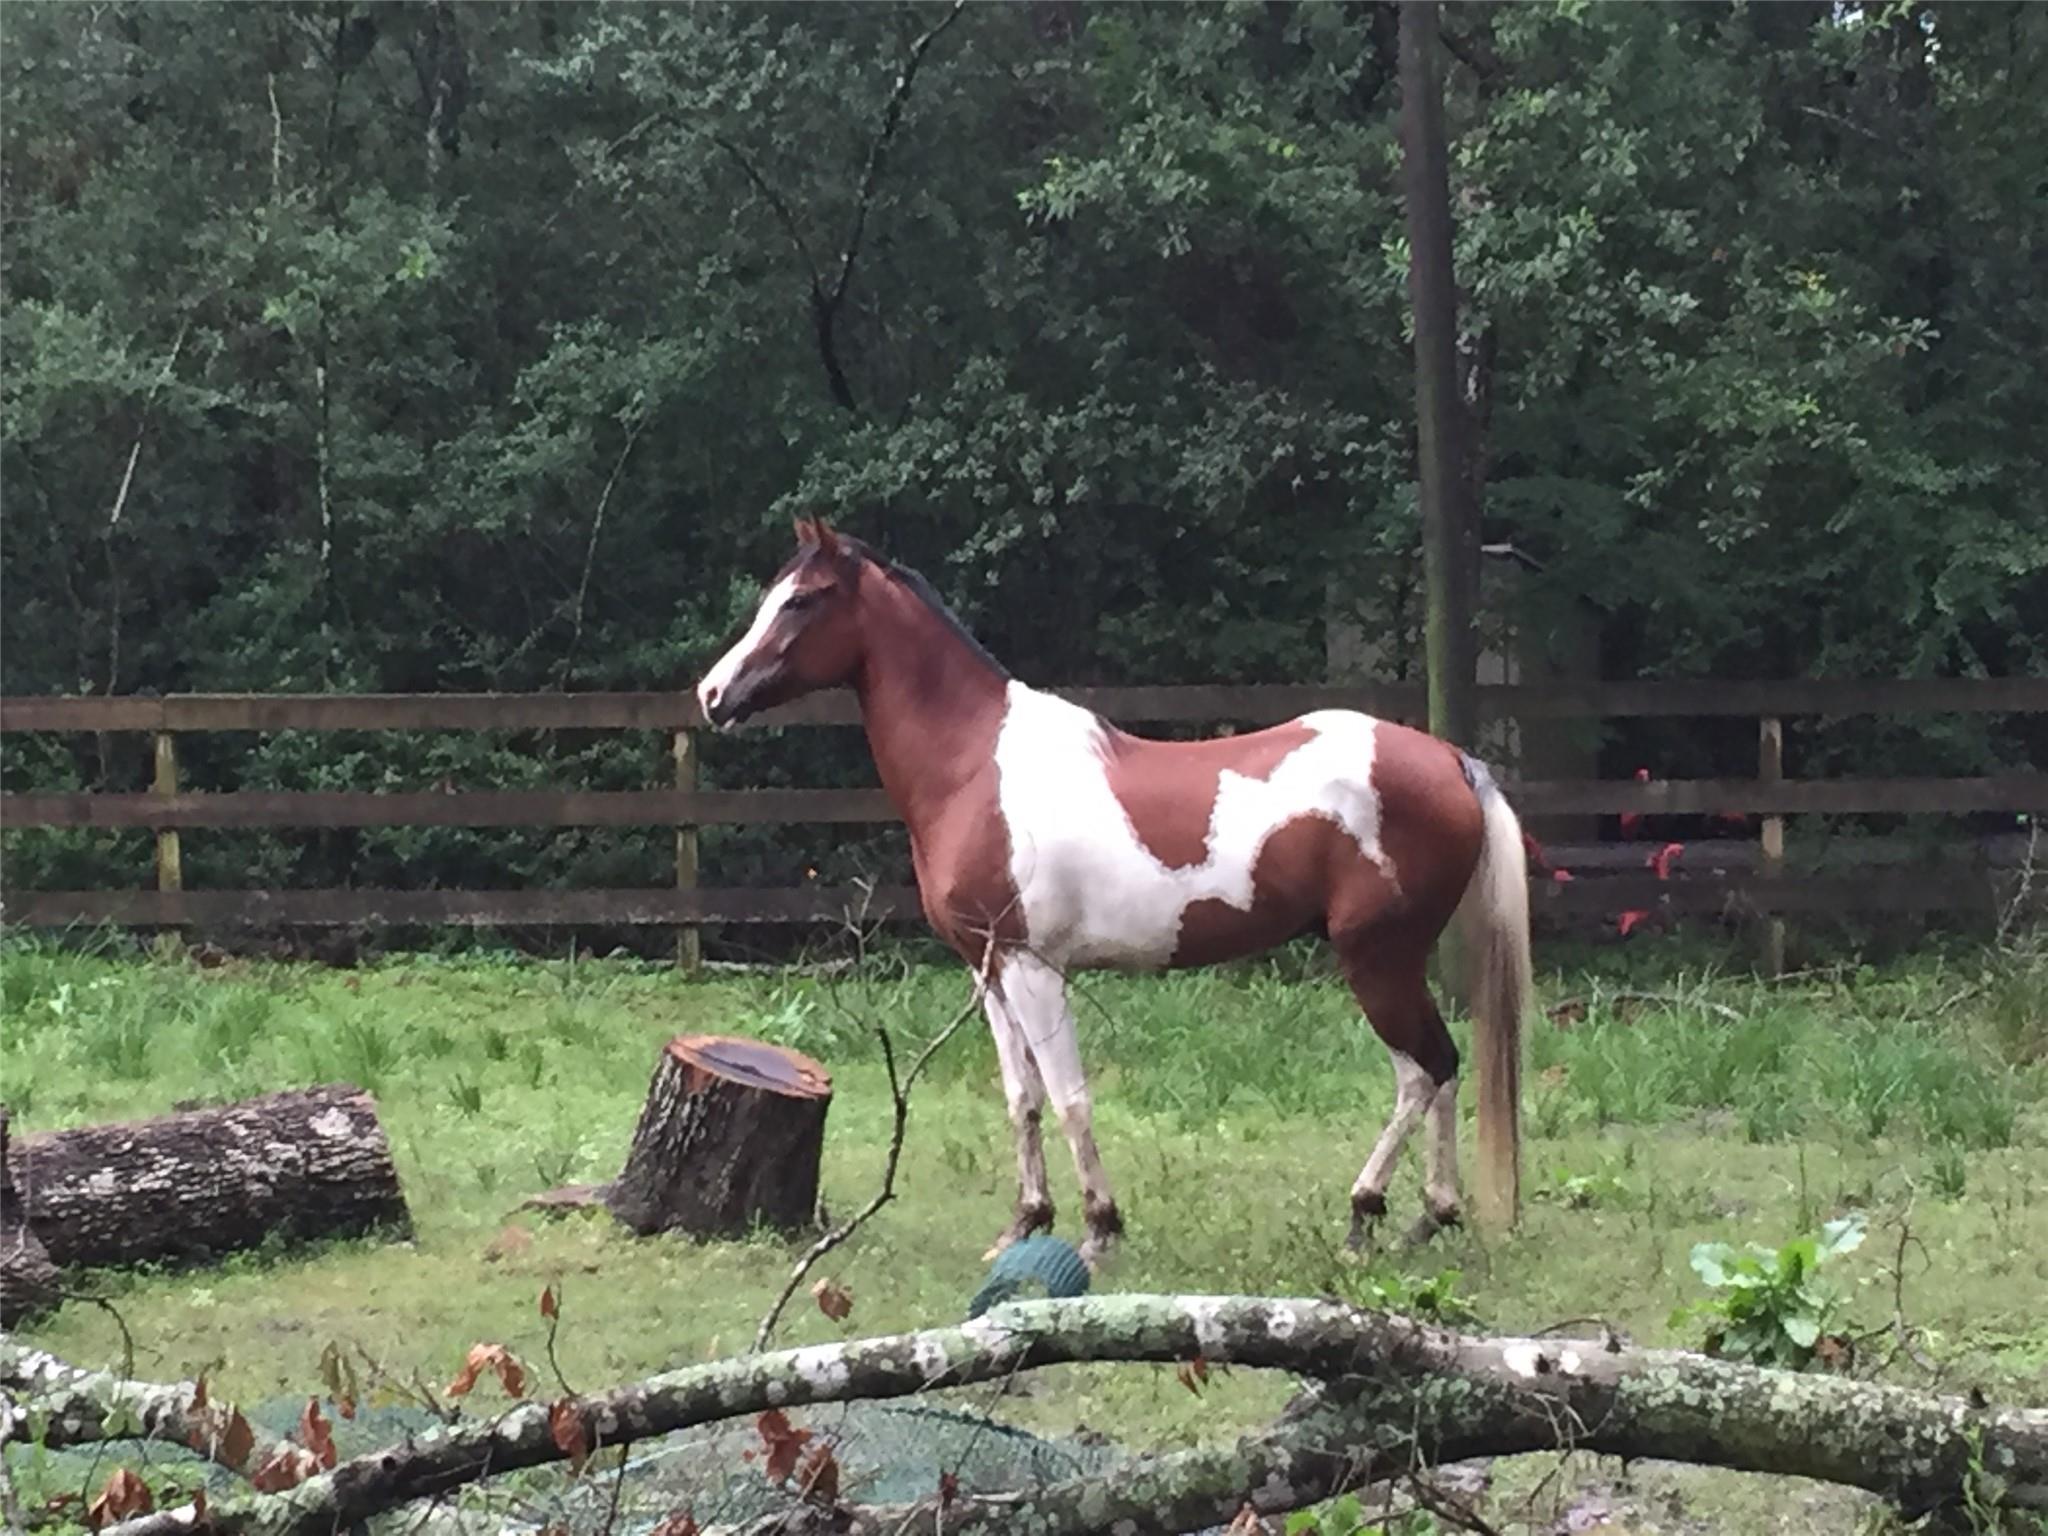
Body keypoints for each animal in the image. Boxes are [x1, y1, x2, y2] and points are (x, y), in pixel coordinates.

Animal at [696, 518, 1531, 1264]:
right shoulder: (989, 970)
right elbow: (1022, 1096)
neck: (975, 767)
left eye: (802, 600)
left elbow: (1070, 1096)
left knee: (1425, 1069)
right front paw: (1025, 1223)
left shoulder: (1034, 968)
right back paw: (1430, 1216)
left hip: (1376, 960)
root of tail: (1450, 759)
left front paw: (1100, 1228)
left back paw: (1368, 1215)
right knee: (1437, 1069)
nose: (711, 694)